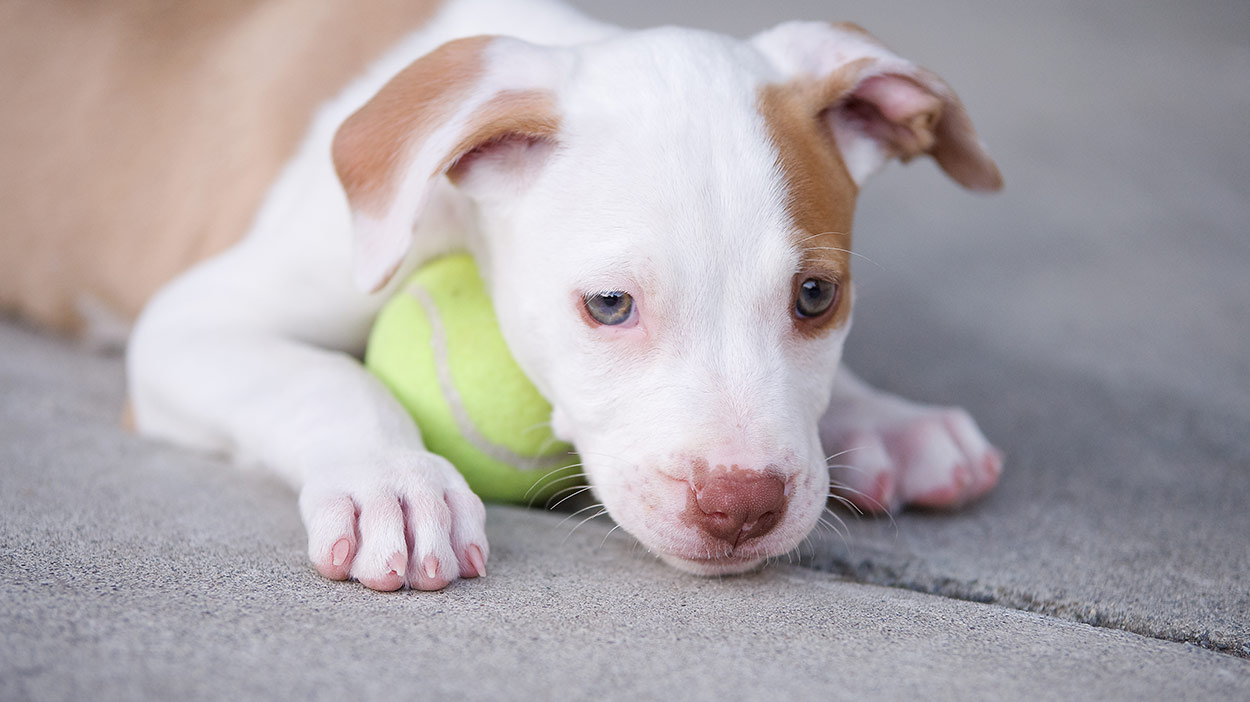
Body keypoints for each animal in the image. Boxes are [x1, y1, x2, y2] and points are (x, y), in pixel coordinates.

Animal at [0, 0, 1000, 589]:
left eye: (816, 296)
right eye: (608, 306)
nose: (741, 504)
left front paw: (888, 419)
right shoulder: (190, 323)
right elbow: (326, 380)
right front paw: (395, 486)